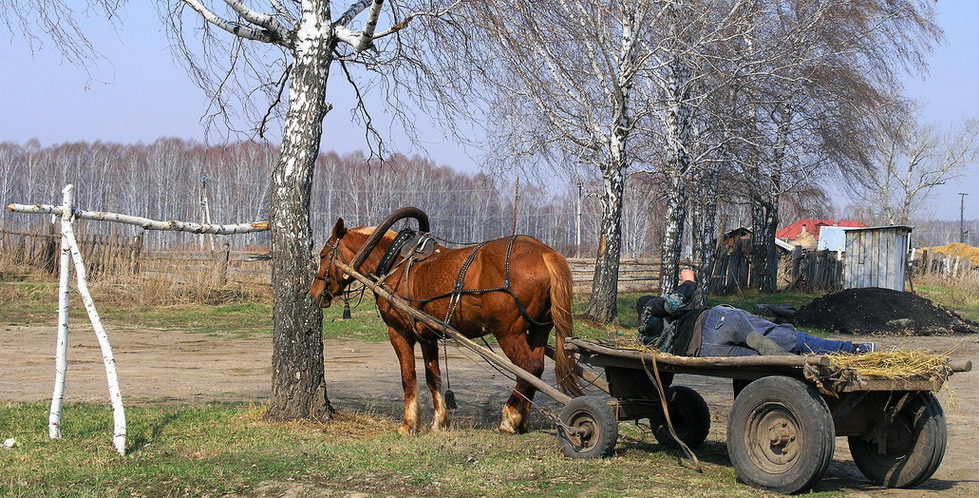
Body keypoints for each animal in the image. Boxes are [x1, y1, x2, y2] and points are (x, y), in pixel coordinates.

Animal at [312, 214, 580, 436]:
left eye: (323, 255)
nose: (315, 293)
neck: (395, 262)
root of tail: (546, 254)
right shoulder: (427, 336)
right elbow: (434, 377)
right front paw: (440, 421)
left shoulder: (399, 332)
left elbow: (408, 376)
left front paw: (408, 424)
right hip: (539, 329)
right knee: (535, 368)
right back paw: (522, 418)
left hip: (508, 332)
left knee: (529, 368)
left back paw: (510, 416)